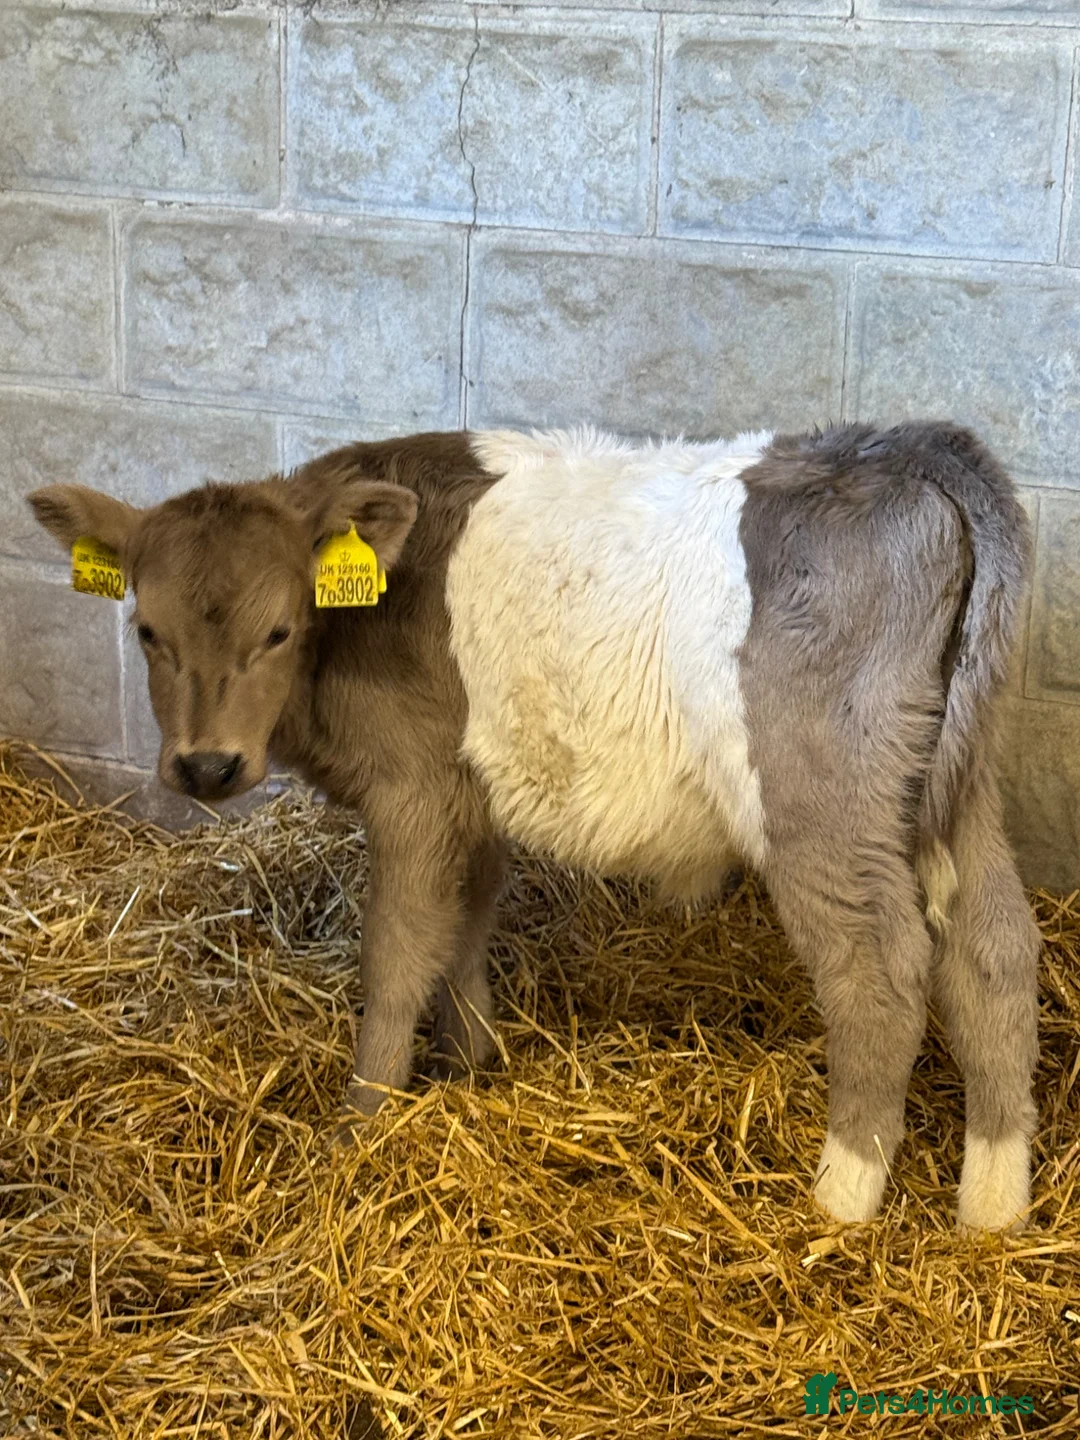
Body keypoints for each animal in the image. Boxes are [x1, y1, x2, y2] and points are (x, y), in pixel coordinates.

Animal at [29, 420, 1039, 1232]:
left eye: (279, 630)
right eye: (147, 630)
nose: (206, 766)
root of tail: (905, 447)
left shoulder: (414, 790)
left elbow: (396, 953)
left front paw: (361, 1121)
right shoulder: (471, 799)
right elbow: (464, 925)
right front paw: (474, 1059)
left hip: (825, 796)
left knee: (881, 967)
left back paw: (841, 1196)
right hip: (957, 784)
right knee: (993, 946)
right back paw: (994, 1201)